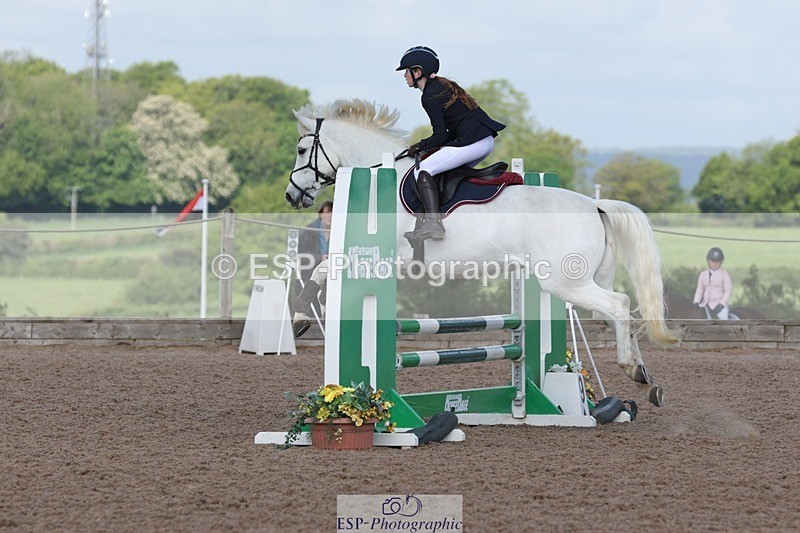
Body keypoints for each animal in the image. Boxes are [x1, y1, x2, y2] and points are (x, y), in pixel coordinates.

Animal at [285, 98, 680, 407]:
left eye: (302, 151)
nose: (291, 196)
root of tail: (596, 205)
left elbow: (322, 269)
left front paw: (301, 318)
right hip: (589, 277)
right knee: (620, 310)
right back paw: (646, 379)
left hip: (565, 283)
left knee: (619, 305)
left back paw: (632, 369)